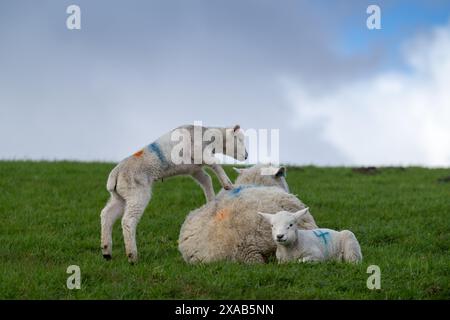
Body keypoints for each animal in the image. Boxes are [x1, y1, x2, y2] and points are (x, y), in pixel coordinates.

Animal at [100, 123, 248, 262]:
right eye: (240, 139)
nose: (247, 156)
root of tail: (115, 174)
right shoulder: (198, 152)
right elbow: (215, 164)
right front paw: (227, 184)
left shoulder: (194, 169)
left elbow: (206, 179)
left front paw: (211, 201)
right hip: (137, 193)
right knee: (128, 221)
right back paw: (132, 256)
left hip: (121, 196)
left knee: (107, 215)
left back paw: (106, 252)